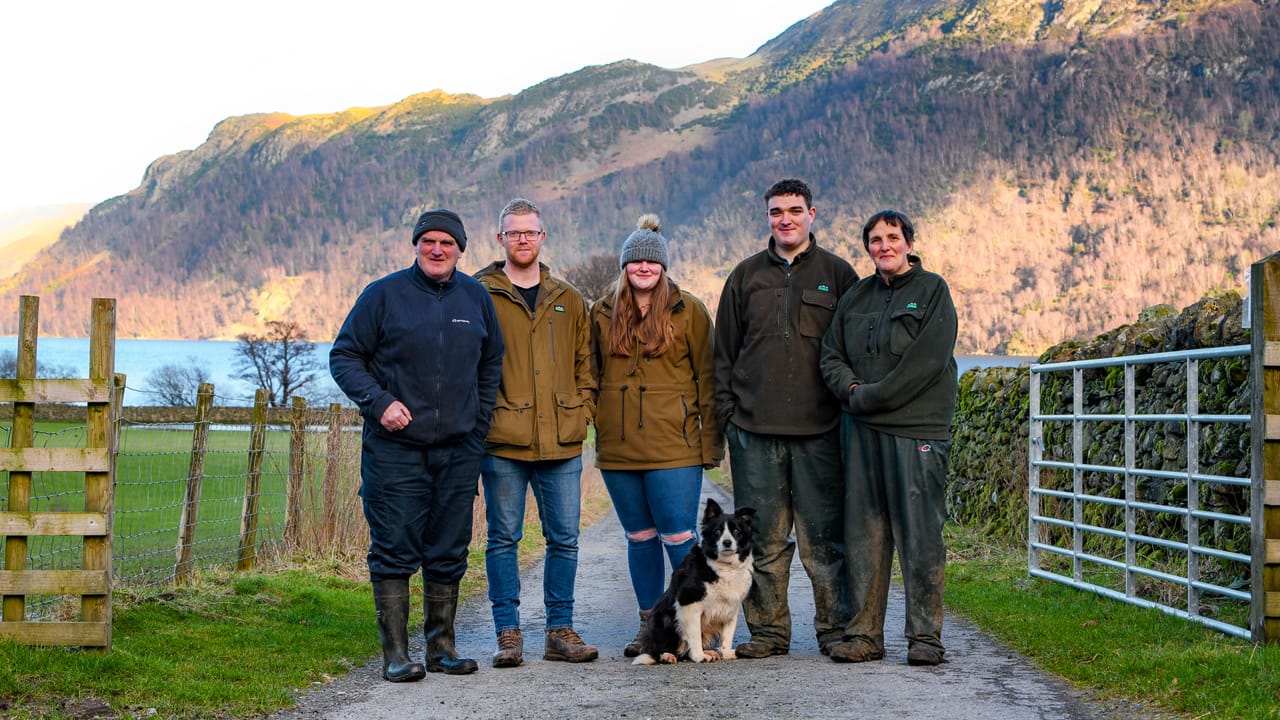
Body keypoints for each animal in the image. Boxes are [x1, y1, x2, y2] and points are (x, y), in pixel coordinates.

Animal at [632, 497, 752, 666]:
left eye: (736, 531)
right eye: (717, 532)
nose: (727, 543)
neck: (724, 565)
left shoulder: (731, 606)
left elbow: (728, 634)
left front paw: (726, 652)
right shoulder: (689, 603)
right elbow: (694, 635)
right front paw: (699, 656)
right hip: (666, 619)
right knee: (660, 649)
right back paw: (667, 655)